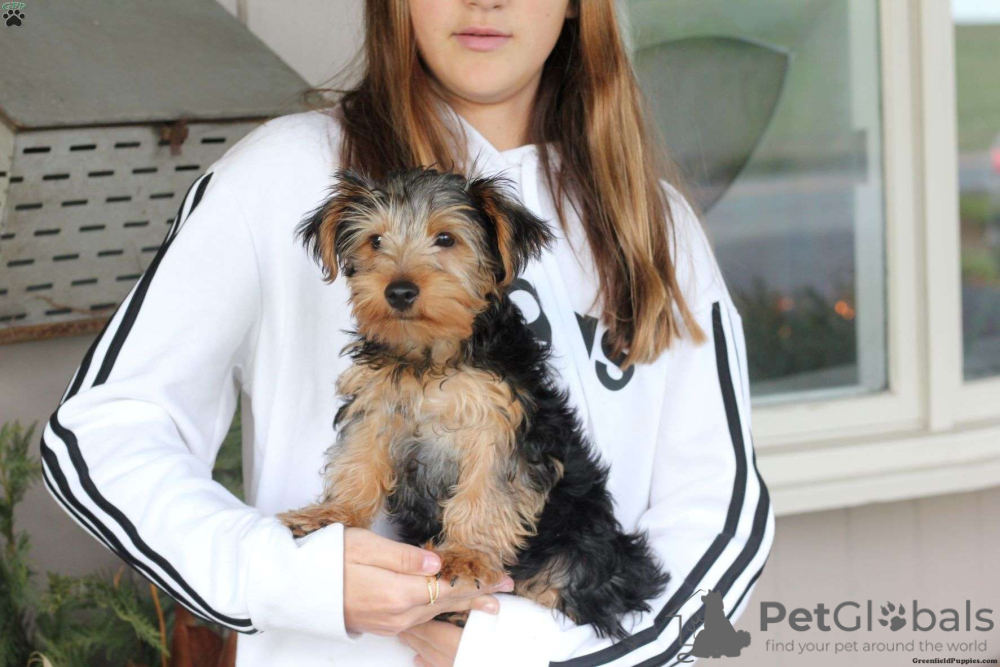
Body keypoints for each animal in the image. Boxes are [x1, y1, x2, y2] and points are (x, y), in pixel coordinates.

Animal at [277, 165, 669, 639]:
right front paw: (333, 514)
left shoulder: (503, 423)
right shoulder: (377, 402)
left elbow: (487, 490)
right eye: (375, 241)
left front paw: (466, 556)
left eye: (446, 239)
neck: (429, 353)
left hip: (582, 551)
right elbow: (359, 459)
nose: (400, 291)